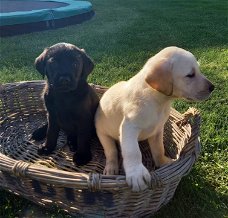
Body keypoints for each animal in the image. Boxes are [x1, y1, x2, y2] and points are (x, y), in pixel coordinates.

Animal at [95, 46, 214, 191]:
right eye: (190, 75)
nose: (212, 87)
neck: (158, 101)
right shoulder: (129, 127)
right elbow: (132, 151)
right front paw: (136, 173)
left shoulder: (157, 131)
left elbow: (159, 150)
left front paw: (165, 162)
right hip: (103, 135)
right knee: (111, 151)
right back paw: (111, 168)